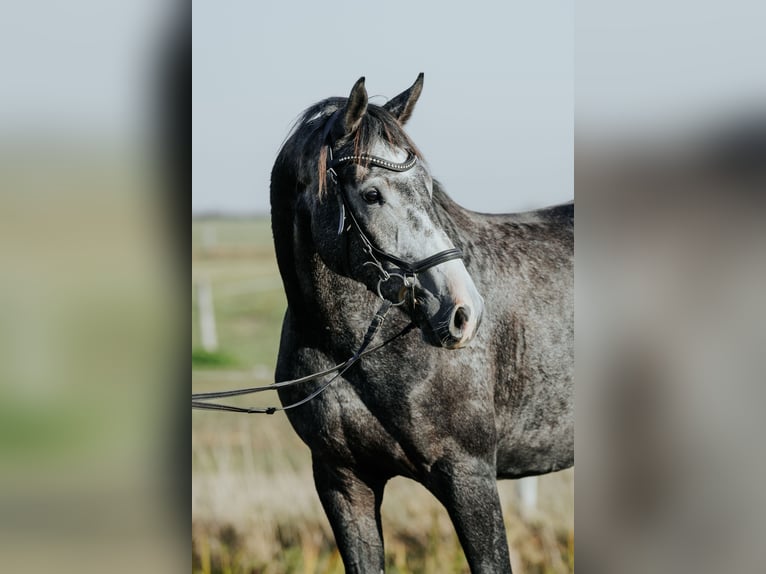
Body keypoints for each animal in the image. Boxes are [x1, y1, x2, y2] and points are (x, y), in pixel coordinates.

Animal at [268, 76, 572, 574]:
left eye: (428, 189)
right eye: (372, 194)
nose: (464, 312)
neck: (352, 352)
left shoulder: (468, 474)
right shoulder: (342, 481)